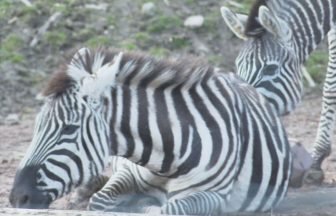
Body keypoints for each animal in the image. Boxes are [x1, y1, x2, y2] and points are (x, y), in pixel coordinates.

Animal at [9, 47, 290, 214]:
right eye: (36, 127)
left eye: (69, 128)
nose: (17, 199)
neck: (167, 157)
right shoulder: (127, 172)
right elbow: (100, 201)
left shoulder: (214, 195)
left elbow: (168, 209)